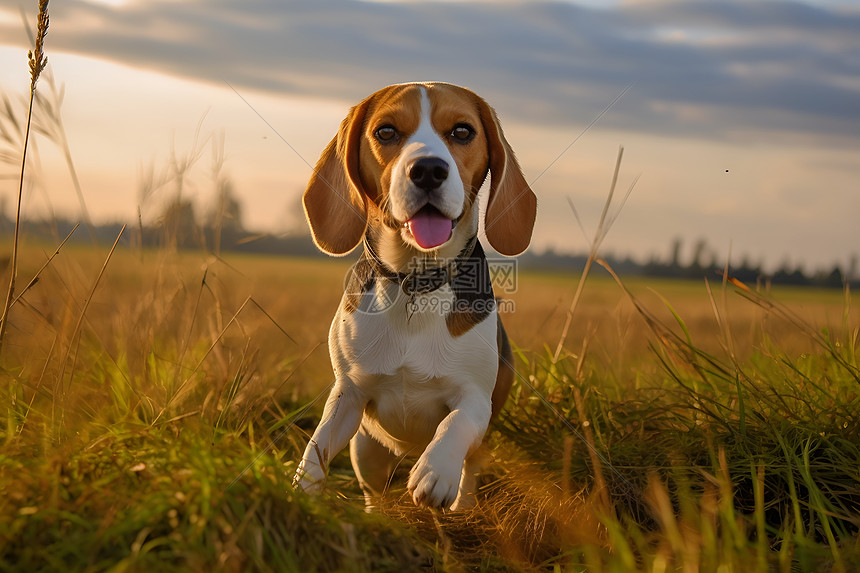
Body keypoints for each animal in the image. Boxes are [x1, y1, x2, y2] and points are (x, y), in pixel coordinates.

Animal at [296, 81, 536, 510]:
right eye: (386, 132)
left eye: (462, 131)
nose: (427, 170)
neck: (414, 283)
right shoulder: (348, 393)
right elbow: (318, 444)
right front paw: (303, 487)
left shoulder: (476, 398)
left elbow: (455, 423)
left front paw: (435, 471)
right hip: (366, 450)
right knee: (373, 491)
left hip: (478, 451)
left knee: (469, 475)